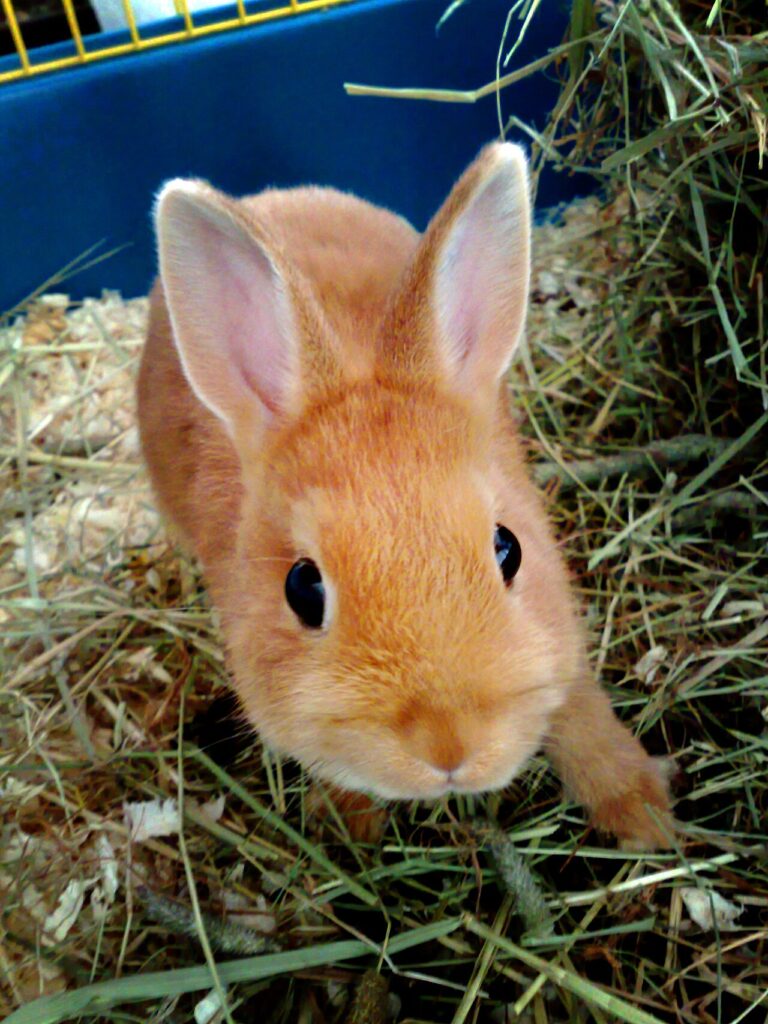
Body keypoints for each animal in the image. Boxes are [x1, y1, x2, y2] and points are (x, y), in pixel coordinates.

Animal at [137, 142, 673, 849]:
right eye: (301, 588)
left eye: (509, 549)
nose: (448, 747)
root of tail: (274, 195)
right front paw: (349, 824)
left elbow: (580, 713)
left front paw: (645, 815)